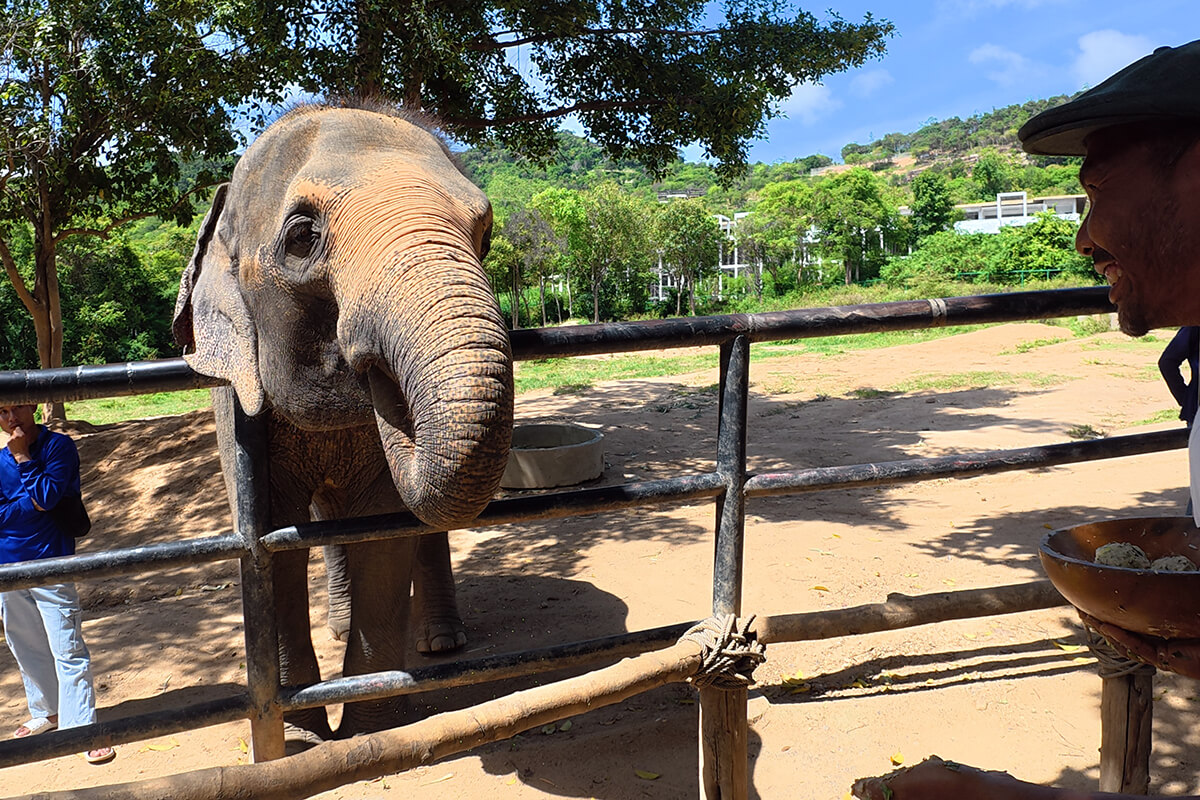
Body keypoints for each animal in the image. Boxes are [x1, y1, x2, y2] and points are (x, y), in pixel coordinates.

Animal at [172, 100, 514, 745]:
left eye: (484, 232)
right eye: (302, 236)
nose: (383, 380)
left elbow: (384, 529)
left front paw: (365, 733)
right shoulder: (236, 404)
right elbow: (274, 540)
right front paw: (304, 738)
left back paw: (439, 642)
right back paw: (336, 625)